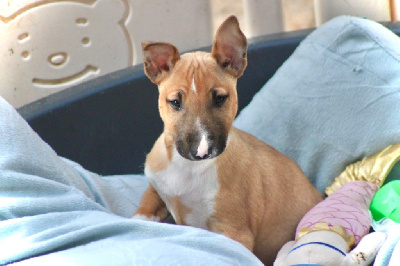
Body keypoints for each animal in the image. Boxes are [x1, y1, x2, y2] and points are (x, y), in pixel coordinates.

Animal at [133, 16, 324, 264]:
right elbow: (145, 205)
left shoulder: (235, 231)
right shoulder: (156, 187)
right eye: (175, 102)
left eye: (220, 99)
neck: (188, 168)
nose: (202, 152)